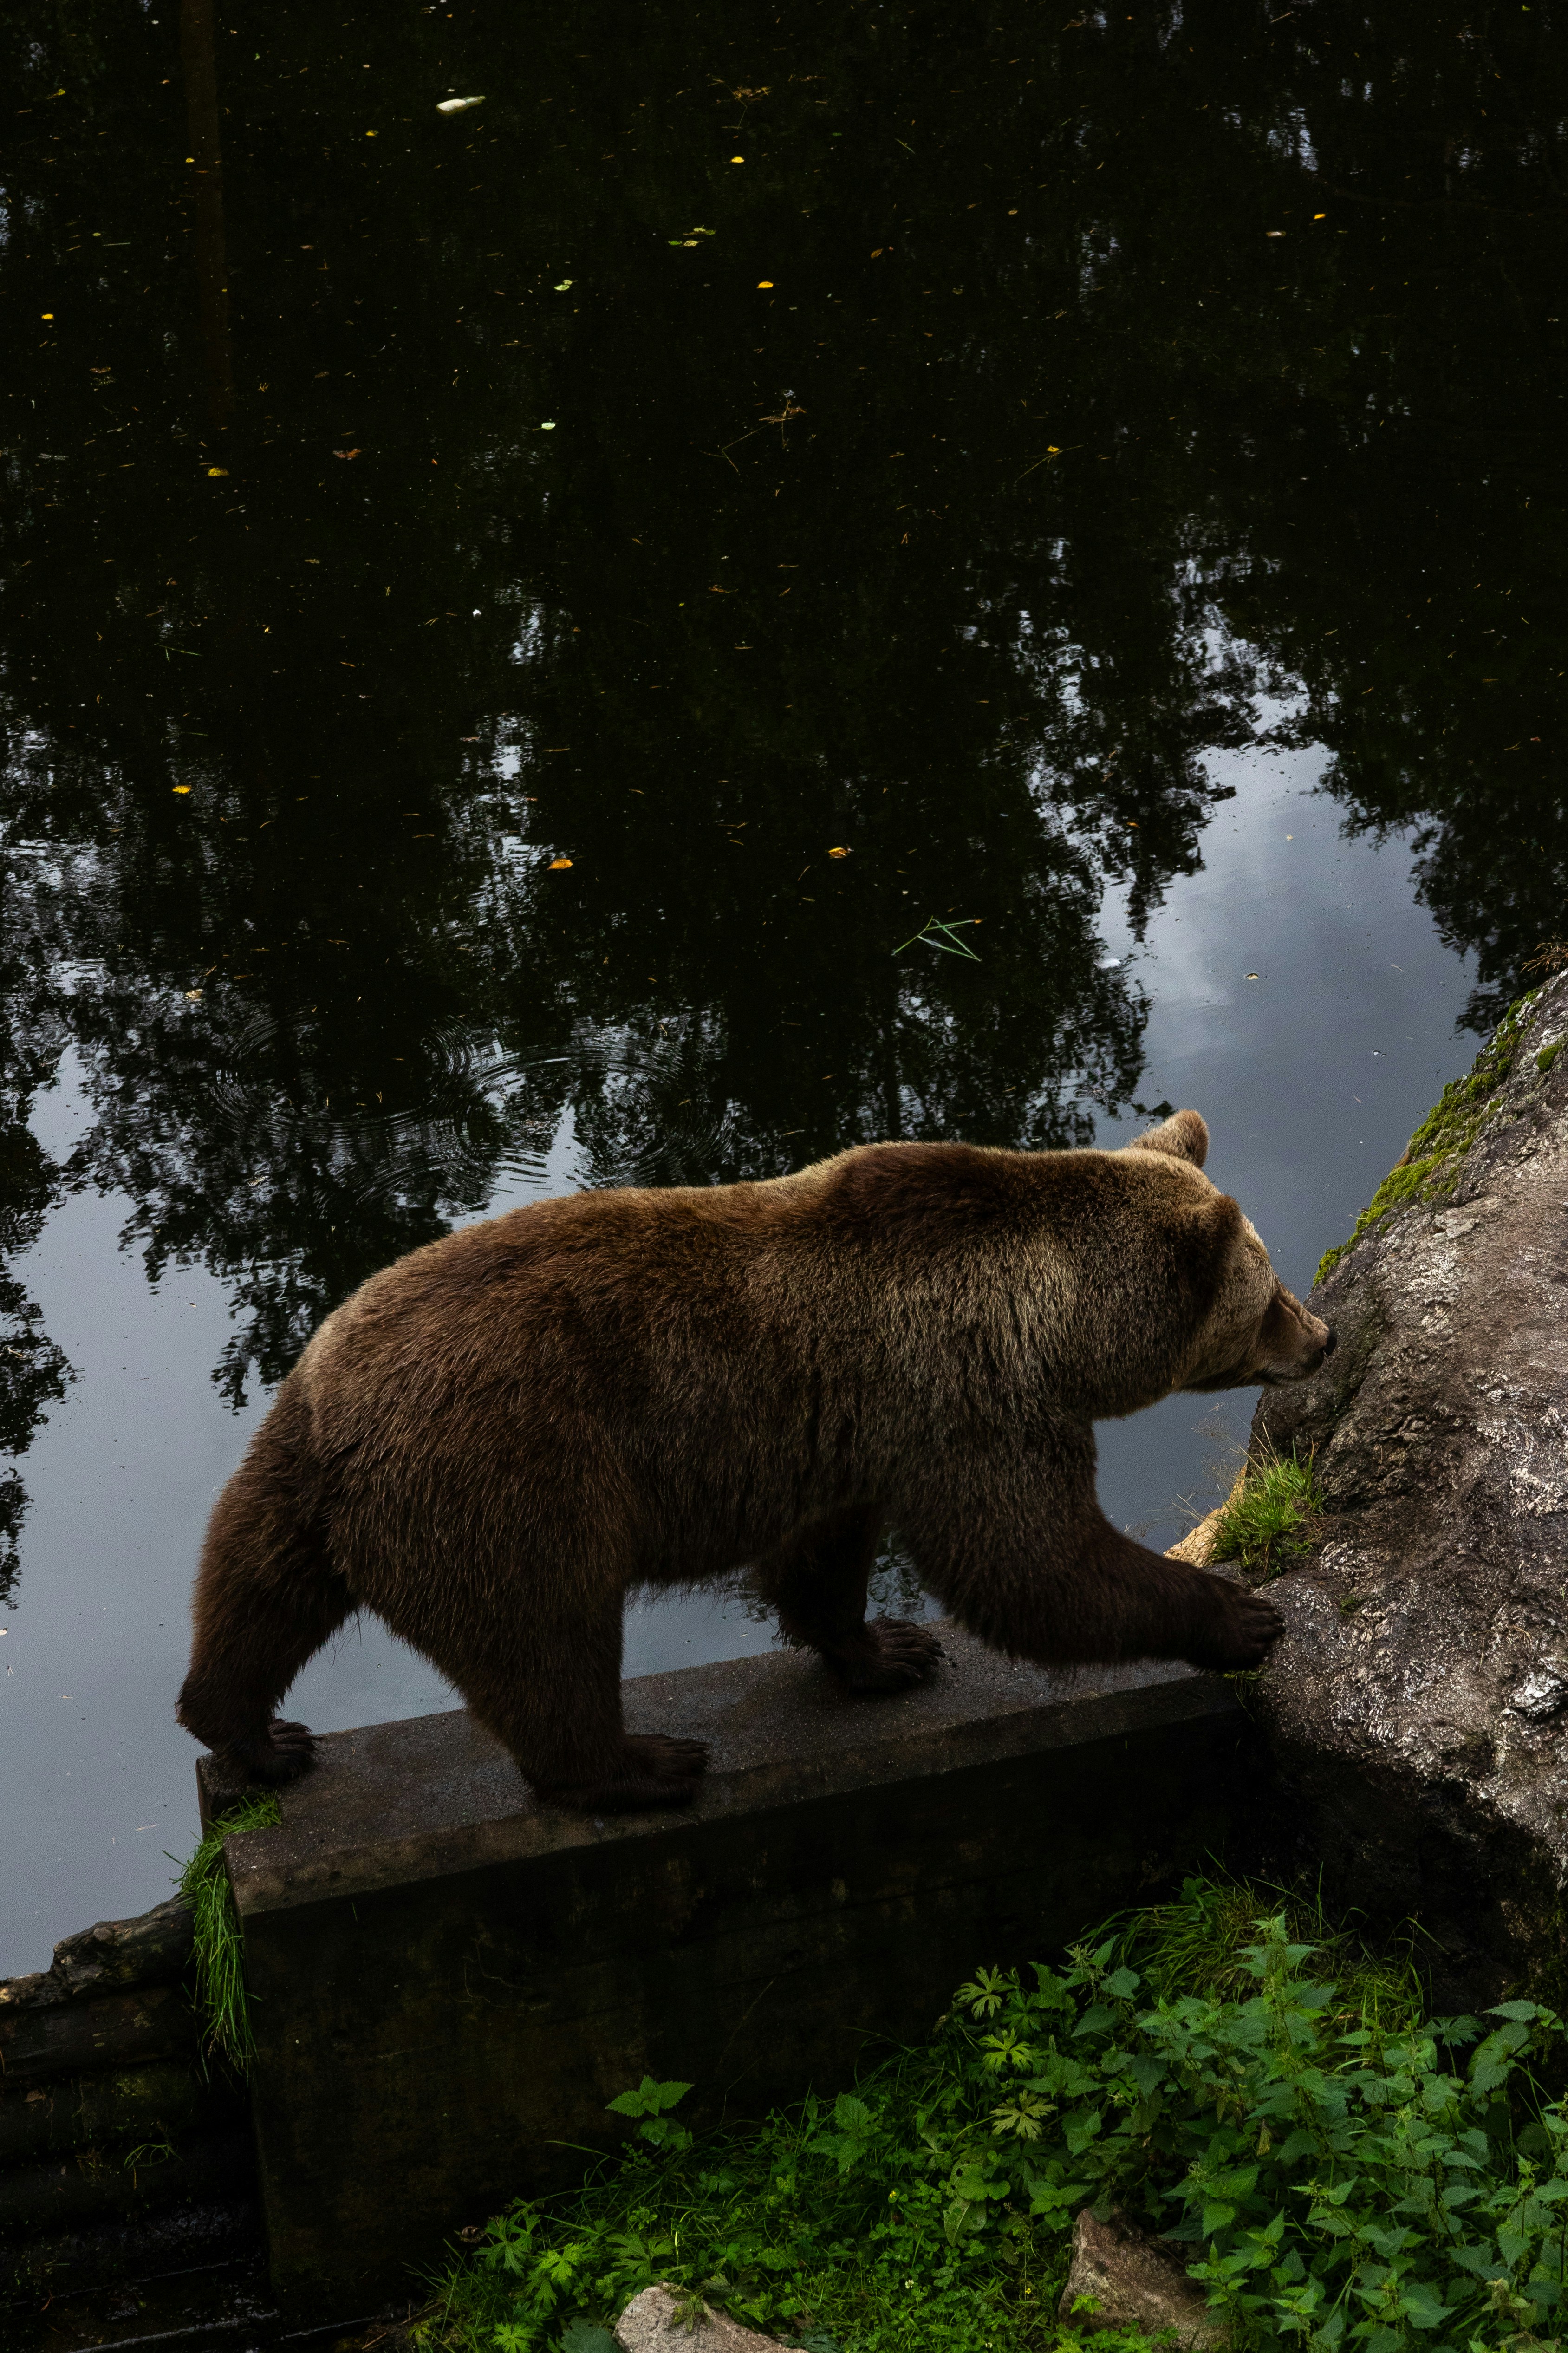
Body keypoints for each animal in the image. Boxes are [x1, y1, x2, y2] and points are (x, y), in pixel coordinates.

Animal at [176, 1109, 1332, 1813]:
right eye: (1265, 1293)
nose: (1321, 1336)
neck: (1048, 1320)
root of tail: (339, 1414)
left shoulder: (856, 1432)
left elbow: (822, 1565)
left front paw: (888, 1650)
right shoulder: (969, 1400)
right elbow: (1031, 1564)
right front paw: (1237, 1613)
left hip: (290, 1458)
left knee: (253, 1597)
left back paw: (256, 1735)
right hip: (507, 1476)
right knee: (544, 1635)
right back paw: (641, 1762)